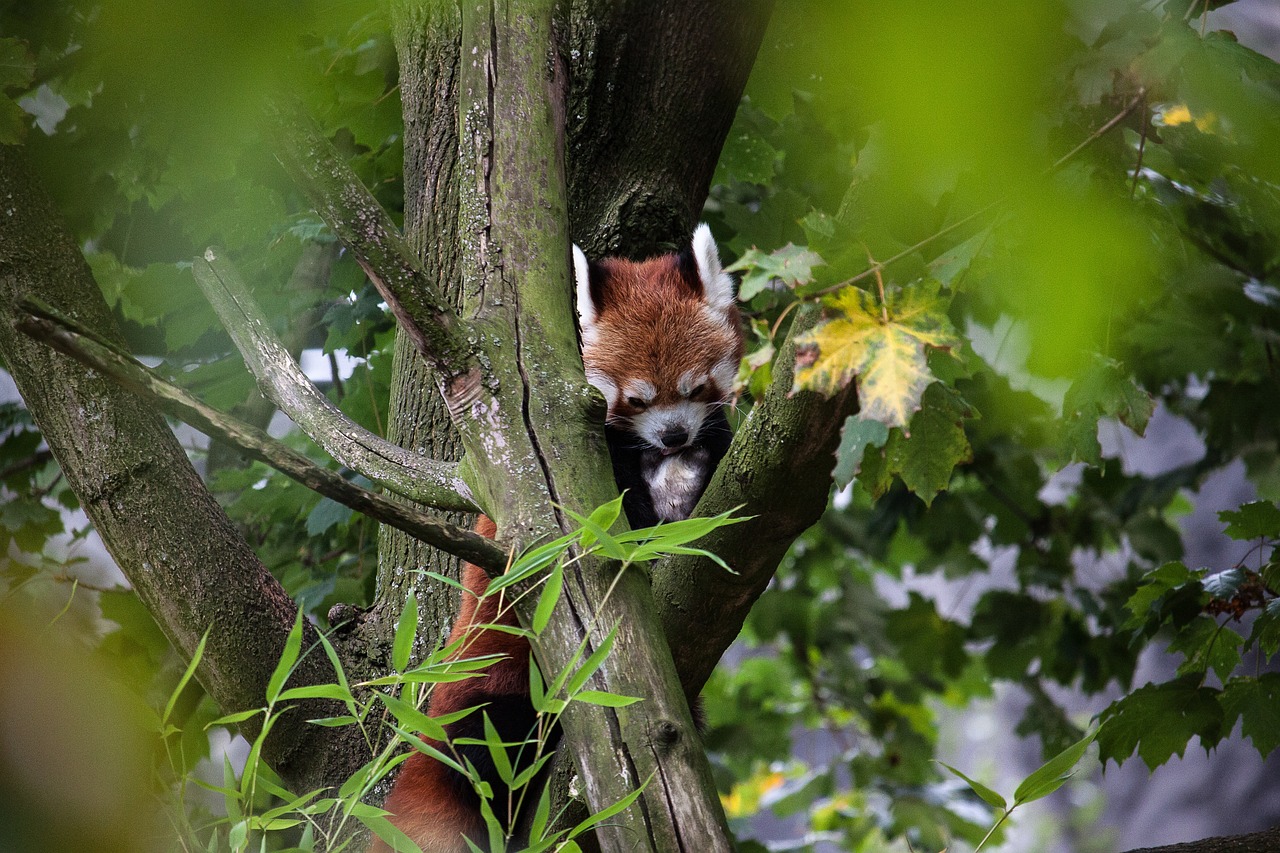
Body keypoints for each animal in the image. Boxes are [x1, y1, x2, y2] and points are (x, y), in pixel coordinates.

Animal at [371, 222, 747, 845]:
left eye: (694, 389)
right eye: (637, 399)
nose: (673, 435)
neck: (659, 461)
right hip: (495, 670)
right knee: (488, 744)